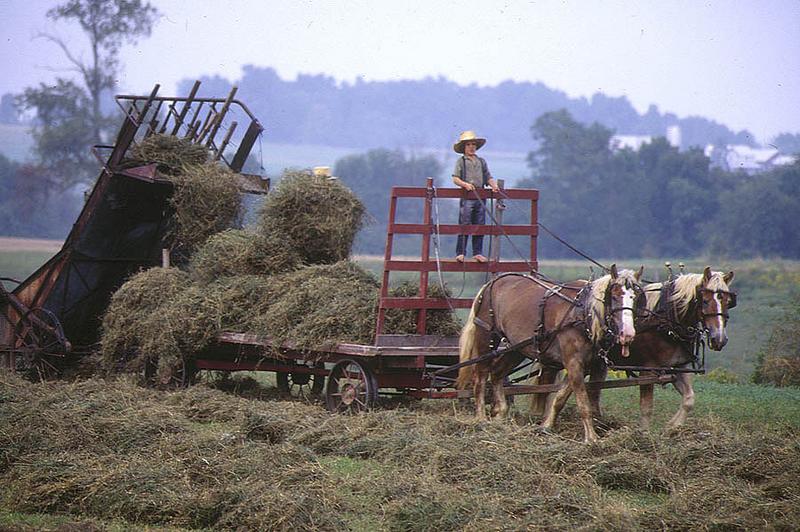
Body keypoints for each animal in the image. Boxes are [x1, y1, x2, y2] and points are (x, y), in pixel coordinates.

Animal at [456, 264, 644, 442]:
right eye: (615, 295)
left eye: (636, 297)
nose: (628, 334)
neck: (584, 315)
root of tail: (491, 283)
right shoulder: (573, 362)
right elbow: (583, 402)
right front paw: (591, 438)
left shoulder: (590, 366)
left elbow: (561, 397)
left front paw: (546, 426)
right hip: (487, 337)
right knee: (480, 376)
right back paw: (481, 419)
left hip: (516, 348)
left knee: (496, 373)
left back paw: (500, 413)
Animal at [536, 266, 736, 428]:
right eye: (705, 300)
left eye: (728, 301)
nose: (720, 338)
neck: (664, 321)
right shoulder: (648, 369)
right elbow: (646, 408)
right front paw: (644, 435)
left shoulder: (678, 367)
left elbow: (689, 399)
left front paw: (672, 428)